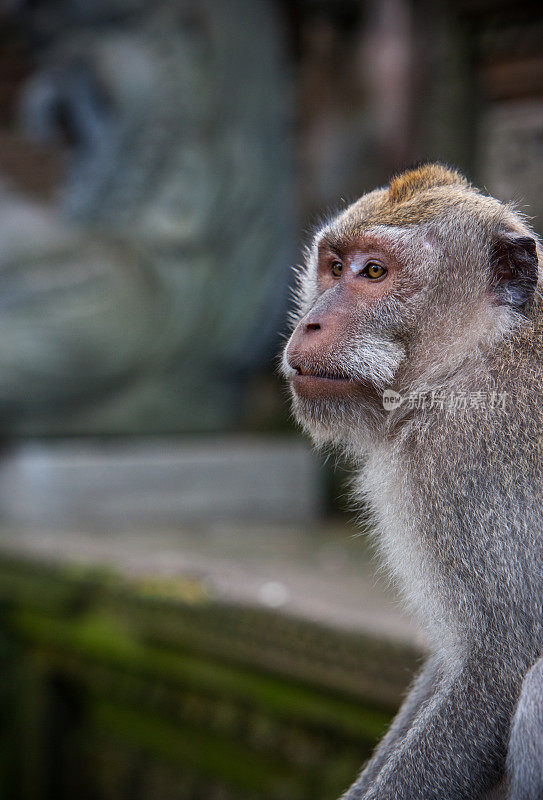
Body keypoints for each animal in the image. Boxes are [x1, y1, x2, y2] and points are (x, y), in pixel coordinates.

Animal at [280, 164, 543, 800]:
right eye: (334, 266)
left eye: (375, 272)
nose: (309, 322)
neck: (476, 354)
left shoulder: (468, 456)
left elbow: (499, 668)